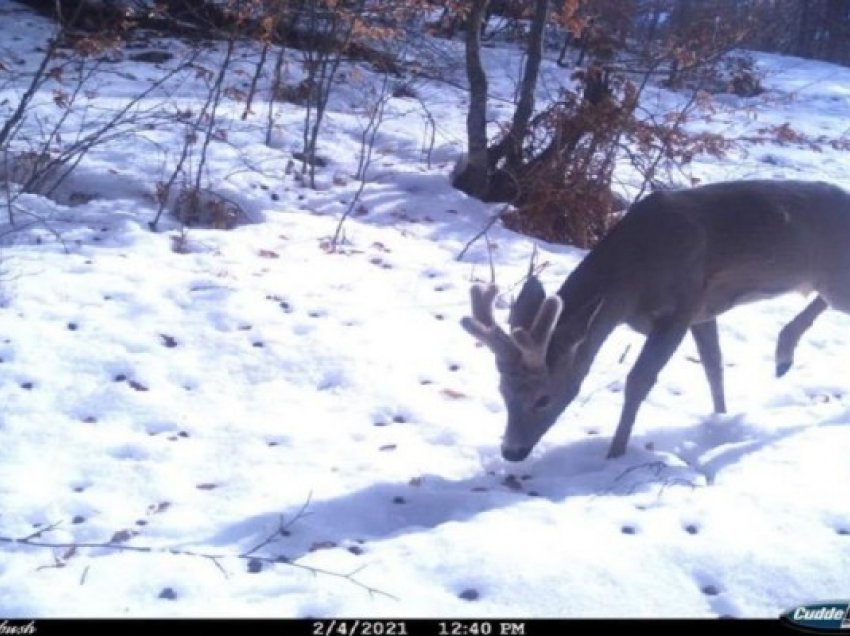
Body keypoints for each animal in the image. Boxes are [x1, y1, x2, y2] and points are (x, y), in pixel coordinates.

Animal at [464, 179, 848, 462]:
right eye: (502, 390)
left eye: (543, 398)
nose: (511, 452)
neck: (633, 279)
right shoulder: (701, 310)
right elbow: (713, 365)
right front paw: (721, 421)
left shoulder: (680, 308)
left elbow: (639, 380)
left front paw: (615, 453)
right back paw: (783, 354)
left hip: (835, 278)